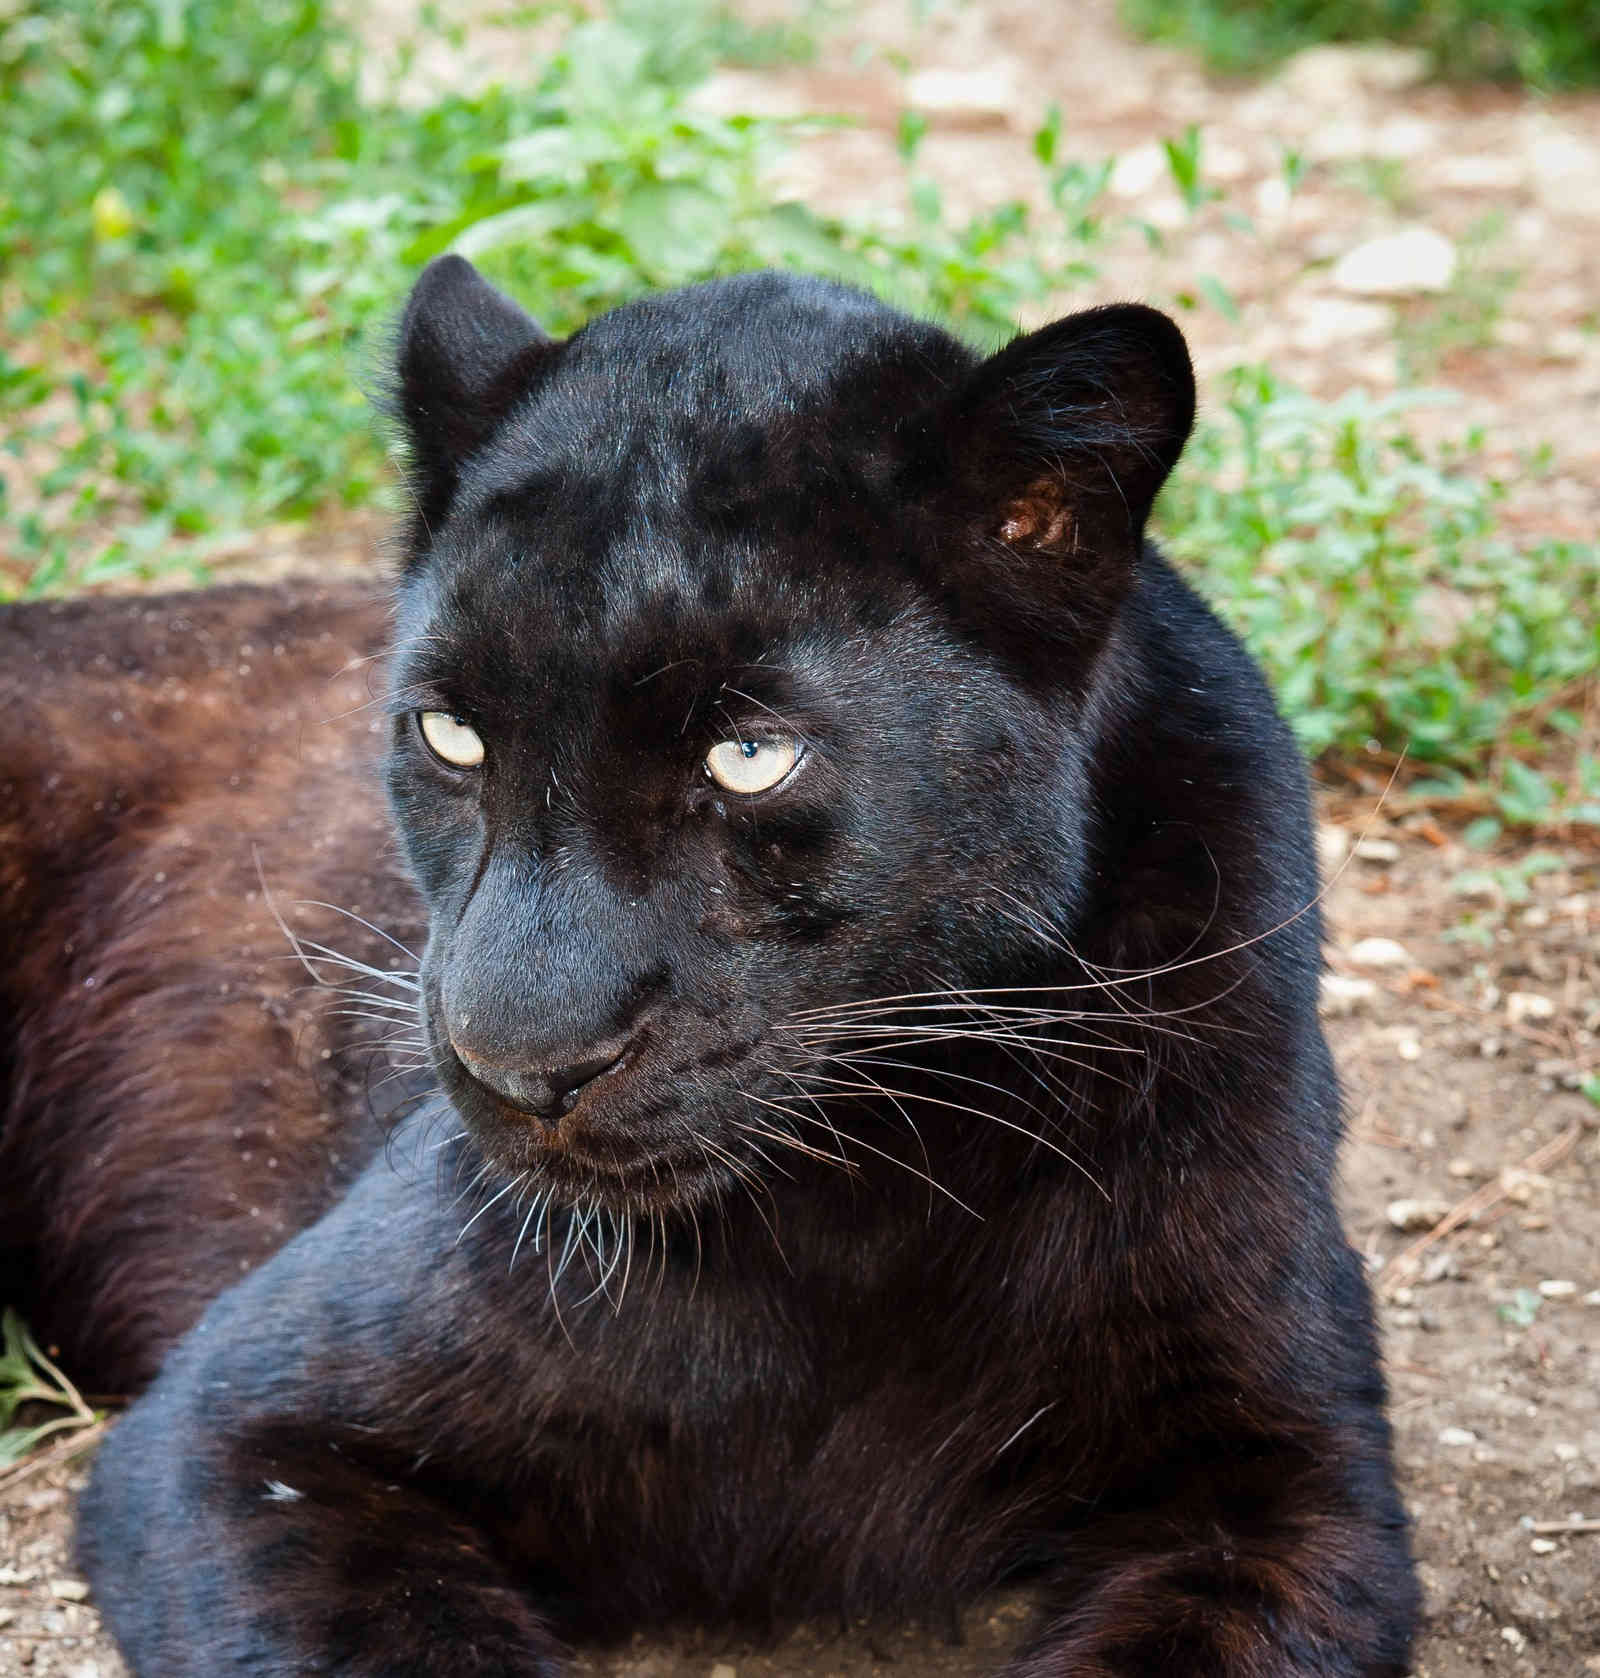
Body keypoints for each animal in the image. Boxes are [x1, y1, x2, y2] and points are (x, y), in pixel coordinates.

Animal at [3, 255, 1422, 1671]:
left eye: (750, 756)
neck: (858, 1214)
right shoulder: (247, 1428)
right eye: (450, 734)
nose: (517, 1063)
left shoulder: (1285, 1480)